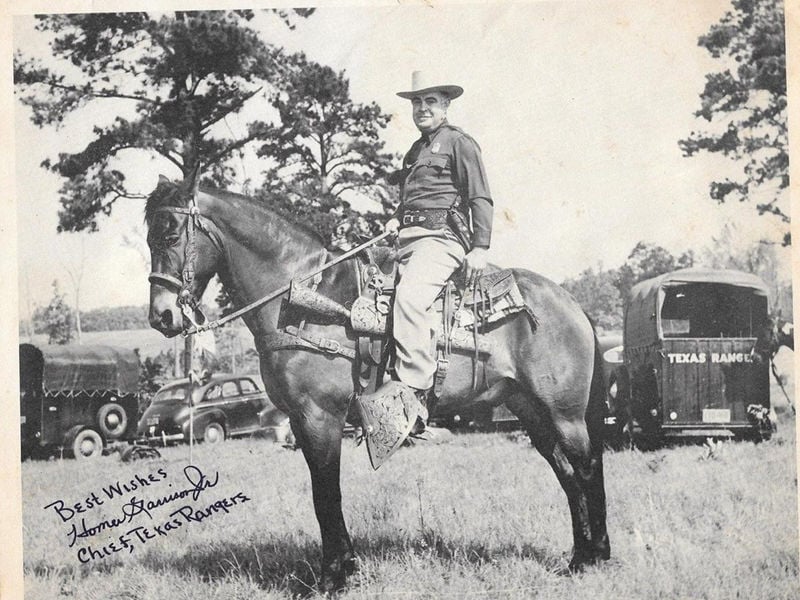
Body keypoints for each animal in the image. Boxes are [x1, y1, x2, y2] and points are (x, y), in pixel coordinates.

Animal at [144, 177, 608, 592]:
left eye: (170, 234)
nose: (161, 316)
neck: (303, 297)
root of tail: (570, 304)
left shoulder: (321, 417)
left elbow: (326, 493)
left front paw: (334, 576)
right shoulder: (297, 421)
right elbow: (321, 492)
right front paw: (343, 567)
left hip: (564, 413)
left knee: (587, 467)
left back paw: (598, 556)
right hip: (531, 412)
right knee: (567, 474)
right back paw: (578, 558)